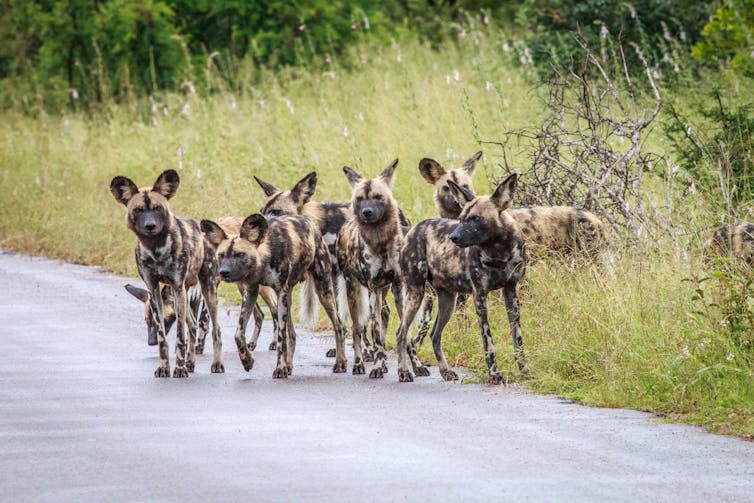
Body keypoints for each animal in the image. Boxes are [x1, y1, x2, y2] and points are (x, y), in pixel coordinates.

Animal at [108, 169, 222, 378]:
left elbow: (179, 337)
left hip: (206, 292)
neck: (156, 249)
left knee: (215, 329)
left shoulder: (177, 288)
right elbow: (163, 340)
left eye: (158, 208)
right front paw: (164, 367)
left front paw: (179, 369)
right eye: (138, 210)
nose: (150, 225)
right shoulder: (153, 290)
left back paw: (216, 364)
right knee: (193, 326)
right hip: (184, 296)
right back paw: (190, 363)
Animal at [197, 213, 344, 378]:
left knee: (338, 325)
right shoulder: (251, 291)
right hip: (288, 298)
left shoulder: (279, 293)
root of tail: (311, 223)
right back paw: (289, 365)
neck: (264, 257)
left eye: (240, 254)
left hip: (323, 291)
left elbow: (280, 338)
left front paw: (279, 369)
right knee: (292, 334)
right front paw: (247, 361)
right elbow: (238, 334)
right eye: (221, 255)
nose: (223, 272)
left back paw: (340, 363)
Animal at [336, 160, 428, 378]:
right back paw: (360, 364)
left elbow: (405, 333)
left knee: (382, 316)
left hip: (383, 290)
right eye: (360, 199)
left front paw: (411, 367)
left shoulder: (398, 287)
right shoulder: (372, 288)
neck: (381, 243)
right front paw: (377, 366)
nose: (367, 212)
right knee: (358, 328)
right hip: (356, 291)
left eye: (378, 197)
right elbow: (375, 332)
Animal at [396, 175, 524, 384]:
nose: (453, 237)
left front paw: (525, 371)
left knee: (434, 335)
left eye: (475, 219)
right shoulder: (480, 296)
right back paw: (403, 372)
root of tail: (412, 229)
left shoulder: (511, 293)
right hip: (416, 293)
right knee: (401, 333)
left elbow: (518, 339)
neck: (499, 251)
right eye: (462, 219)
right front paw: (494, 375)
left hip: (448, 300)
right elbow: (488, 342)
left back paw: (445, 371)